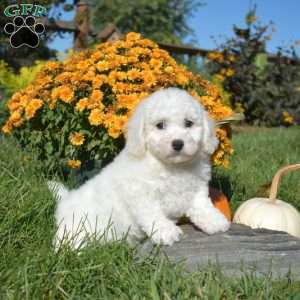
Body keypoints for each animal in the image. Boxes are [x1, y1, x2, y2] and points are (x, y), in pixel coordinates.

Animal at [50, 86, 231, 248]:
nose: (178, 143)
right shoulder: (141, 194)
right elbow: (153, 214)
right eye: (160, 125)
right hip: (76, 227)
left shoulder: (196, 188)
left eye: (188, 123)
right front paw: (167, 232)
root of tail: (65, 201)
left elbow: (202, 205)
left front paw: (215, 221)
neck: (172, 166)